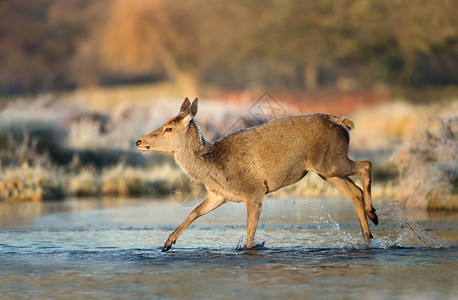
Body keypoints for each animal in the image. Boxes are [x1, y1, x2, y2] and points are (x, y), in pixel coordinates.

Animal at [137, 97, 380, 252]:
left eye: (168, 128)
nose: (139, 141)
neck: (215, 169)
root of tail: (340, 120)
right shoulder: (219, 194)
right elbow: (194, 212)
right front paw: (167, 243)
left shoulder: (253, 190)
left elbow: (250, 230)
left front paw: (248, 249)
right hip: (326, 171)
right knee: (355, 192)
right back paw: (368, 235)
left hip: (330, 163)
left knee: (366, 165)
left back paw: (373, 215)